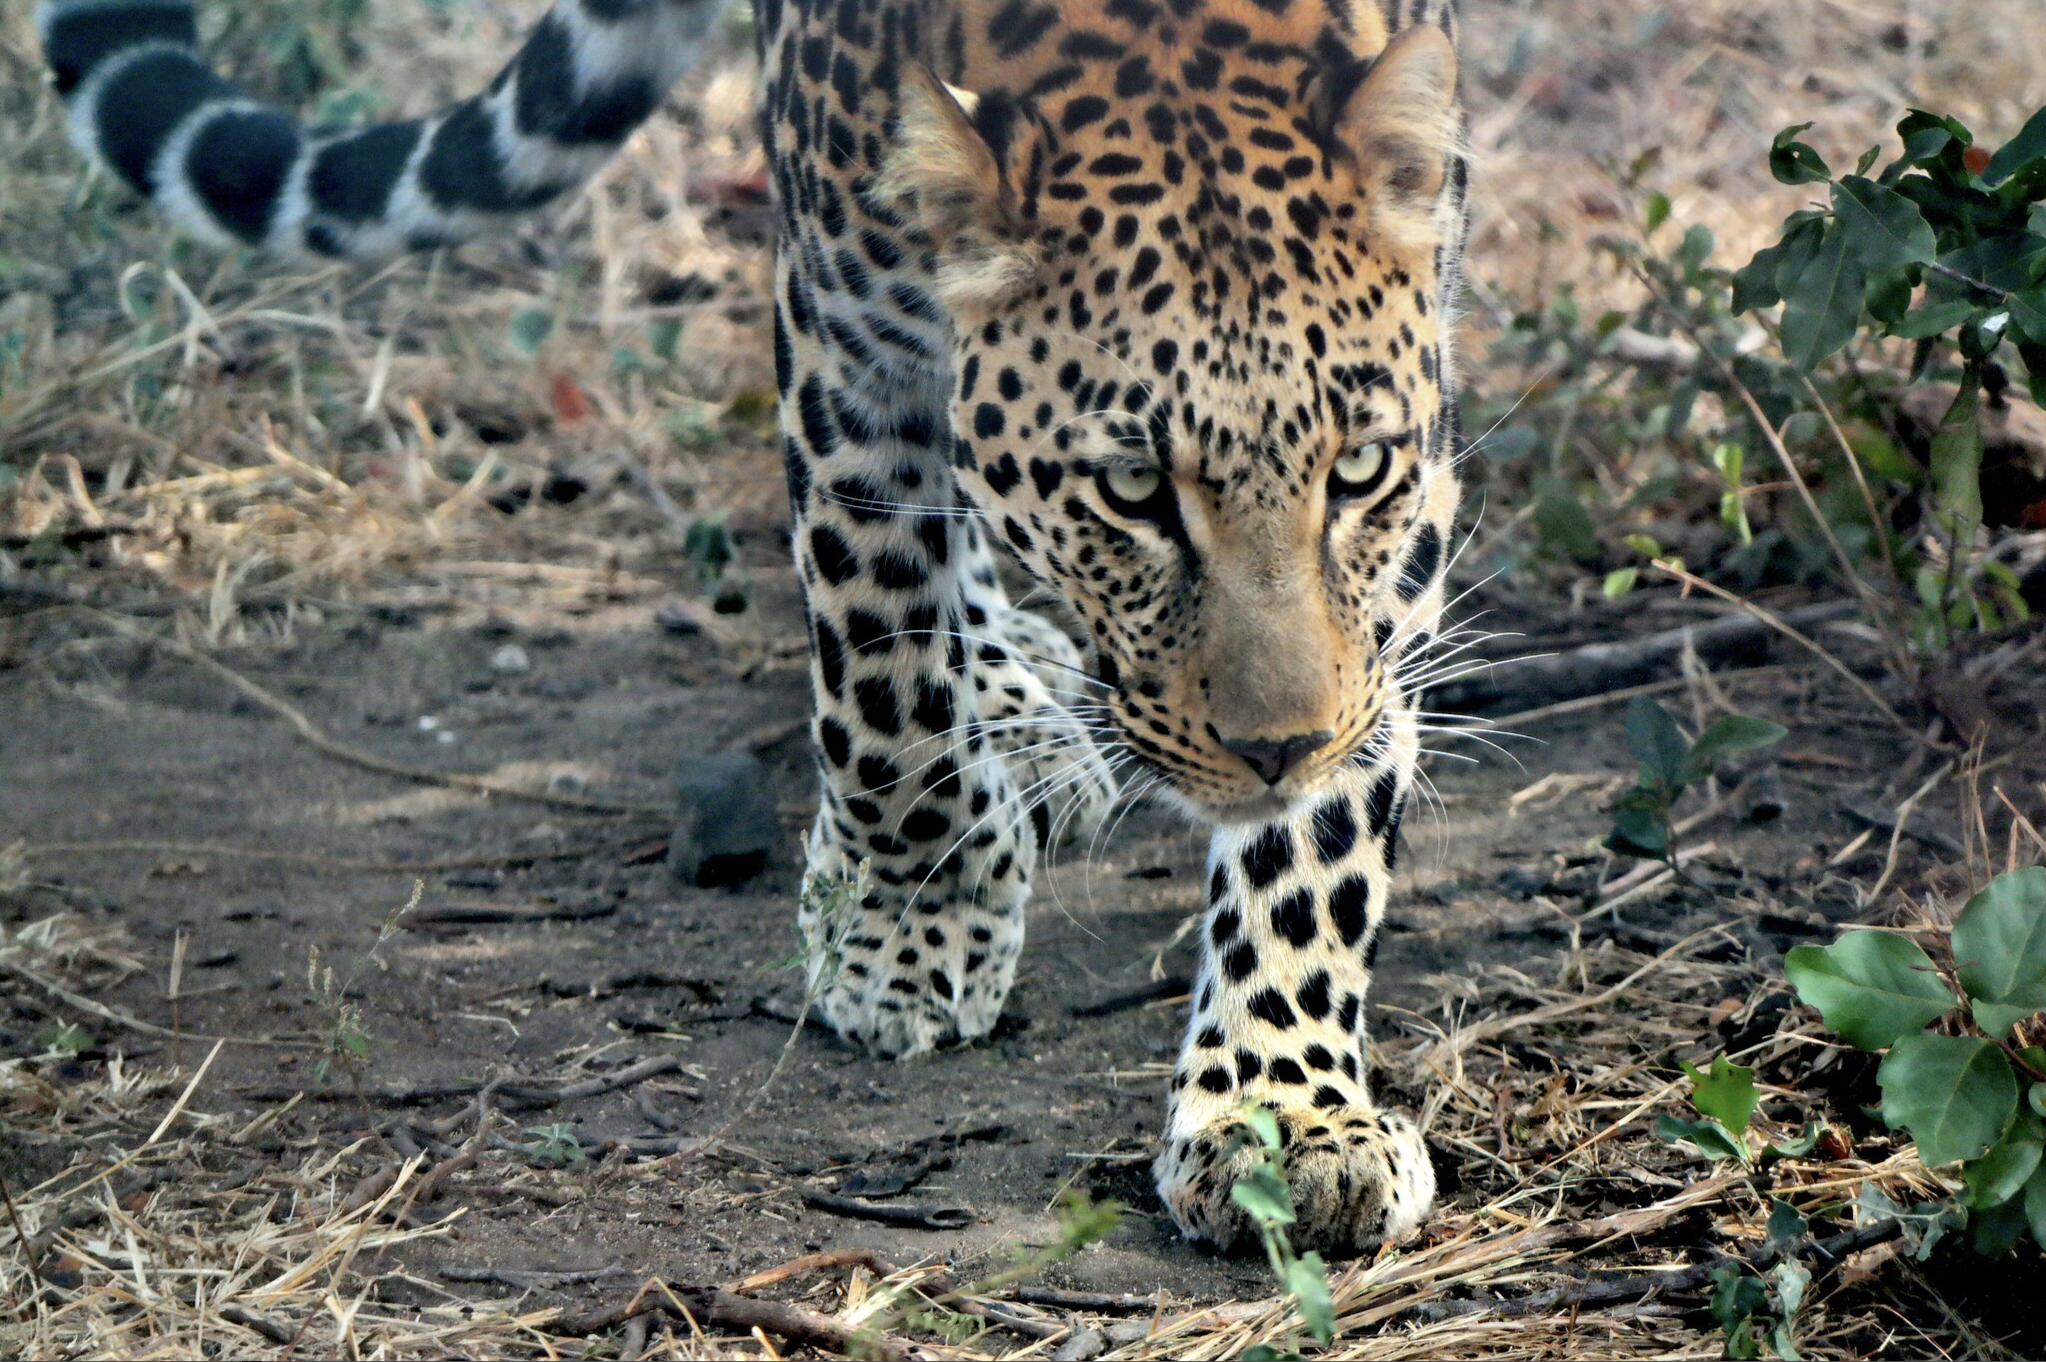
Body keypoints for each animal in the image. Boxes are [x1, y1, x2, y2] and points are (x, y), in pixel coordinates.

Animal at [37, 0, 1469, 1254]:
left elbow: (1327, 819)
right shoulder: (846, 349)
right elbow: (882, 657)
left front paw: (1283, 1110)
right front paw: (907, 923)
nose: (1275, 748)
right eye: (1130, 490)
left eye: (1357, 472)